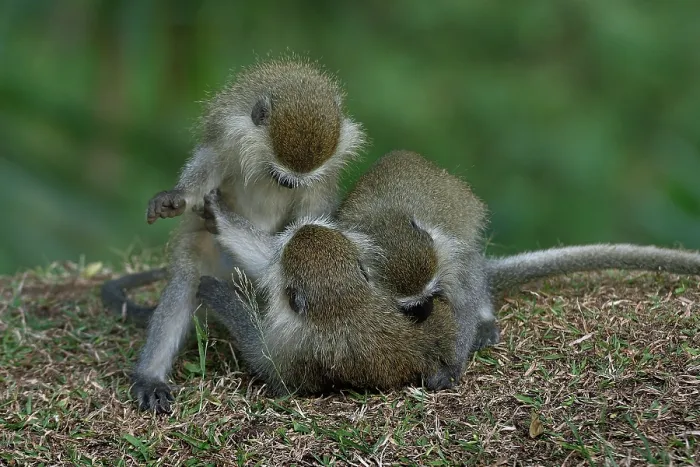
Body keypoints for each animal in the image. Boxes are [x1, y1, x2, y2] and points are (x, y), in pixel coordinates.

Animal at [105, 56, 367, 414]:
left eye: (293, 183)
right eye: (278, 176)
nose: (286, 184)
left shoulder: (320, 180)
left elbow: (309, 225)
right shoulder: (229, 136)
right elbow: (209, 163)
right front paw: (177, 197)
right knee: (188, 277)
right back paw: (150, 377)